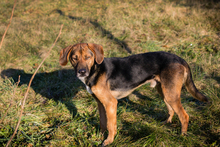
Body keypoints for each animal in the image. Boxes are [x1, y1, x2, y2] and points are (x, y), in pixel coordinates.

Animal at [58, 42, 208, 146]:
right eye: (74, 58)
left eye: (88, 57)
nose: (82, 72)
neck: (96, 69)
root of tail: (180, 58)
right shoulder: (100, 103)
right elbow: (102, 122)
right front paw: (99, 136)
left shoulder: (111, 103)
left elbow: (111, 125)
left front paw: (109, 141)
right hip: (165, 91)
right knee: (171, 110)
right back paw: (166, 123)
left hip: (170, 94)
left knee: (184, 116)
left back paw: (182, 136)